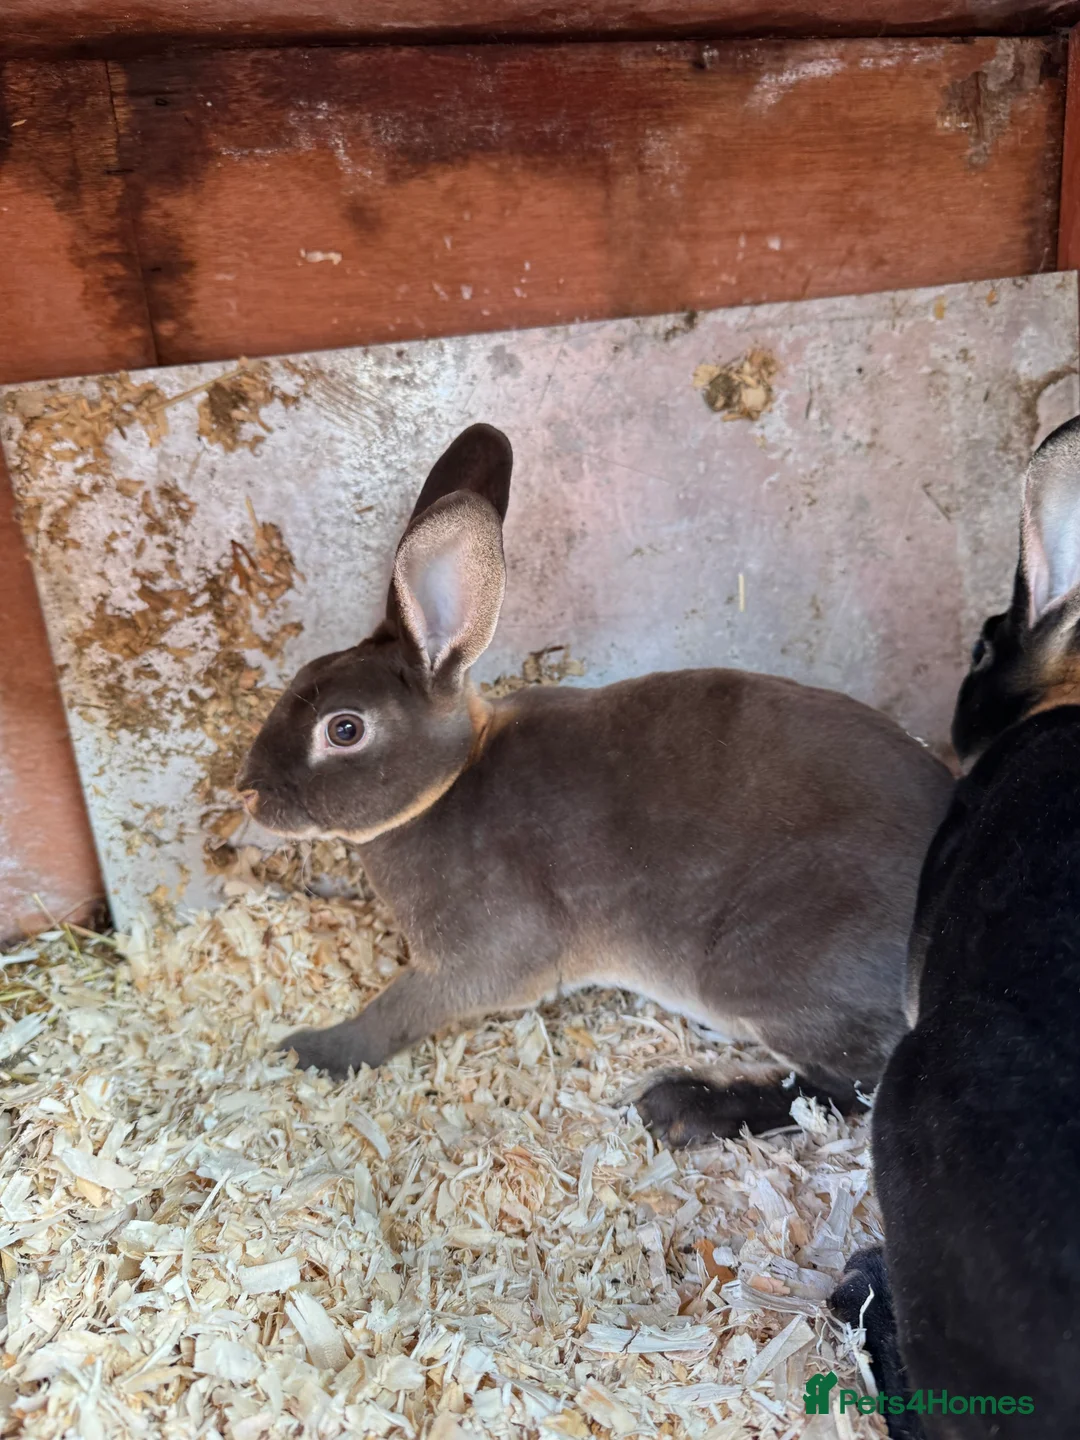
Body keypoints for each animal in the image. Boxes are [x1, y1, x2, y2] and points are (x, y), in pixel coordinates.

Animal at [237, 423, 953, 1138]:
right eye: (300, 677)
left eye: (344, 730)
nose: (247, 791)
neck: (447, 782)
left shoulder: (478, 958)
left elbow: (398, 1013)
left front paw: (312, 1051)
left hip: (762, 967)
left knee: (848, 1088)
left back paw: (680, 1106)